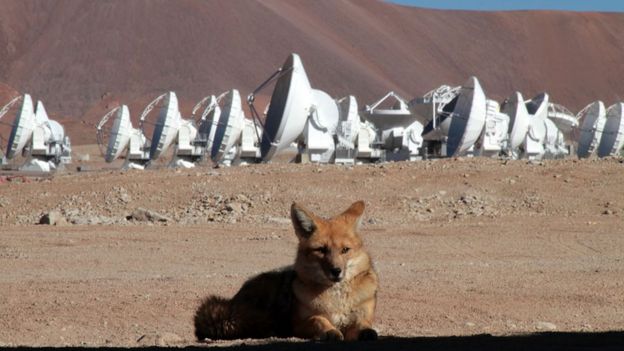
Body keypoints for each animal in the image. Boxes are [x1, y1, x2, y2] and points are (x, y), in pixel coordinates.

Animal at [194, 202, 380, 342]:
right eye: (321, 250)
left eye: (345, 250)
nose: (336, 271)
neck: (337, 299)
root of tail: (234, 300)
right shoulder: (298, 323)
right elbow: (318, 319)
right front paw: (330, 331)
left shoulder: (364, 316)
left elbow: (364, 325)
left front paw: (367, 332)